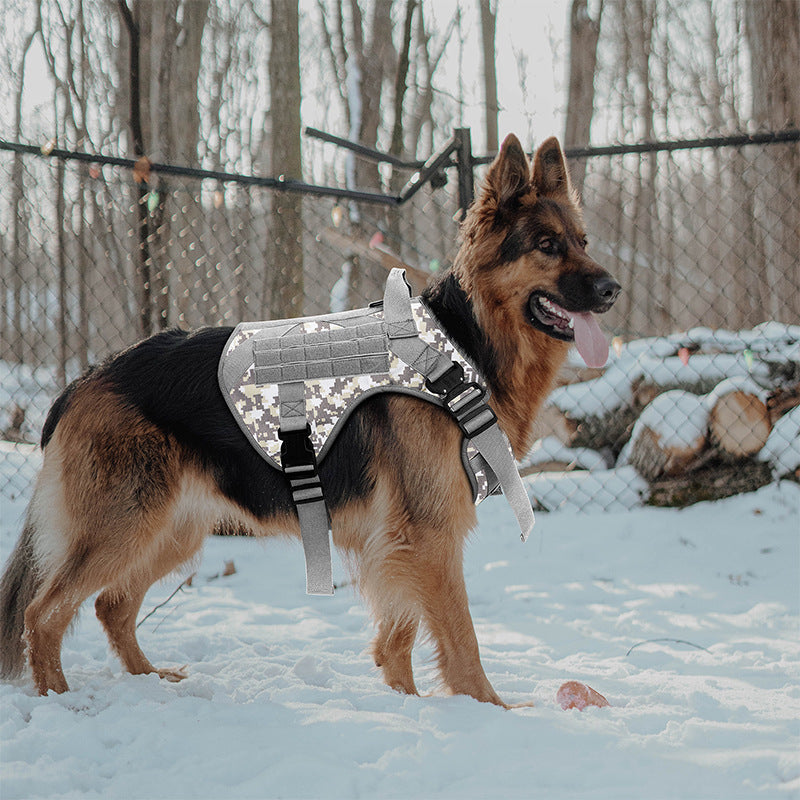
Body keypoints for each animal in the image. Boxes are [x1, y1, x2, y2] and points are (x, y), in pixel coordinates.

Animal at [1, 136, 620, 708]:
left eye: (582, 242)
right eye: (547, 245)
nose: (612, 289)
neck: (463, 343)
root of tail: (85, 379)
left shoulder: (401, 540)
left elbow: (400, 633)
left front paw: (406, 700)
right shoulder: (429, 533)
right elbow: (459, 636)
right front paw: (490, 711)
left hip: (171, 530)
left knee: (111, 605)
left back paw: (150, 681)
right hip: (126, 525)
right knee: (42, 613)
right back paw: (60, 699)